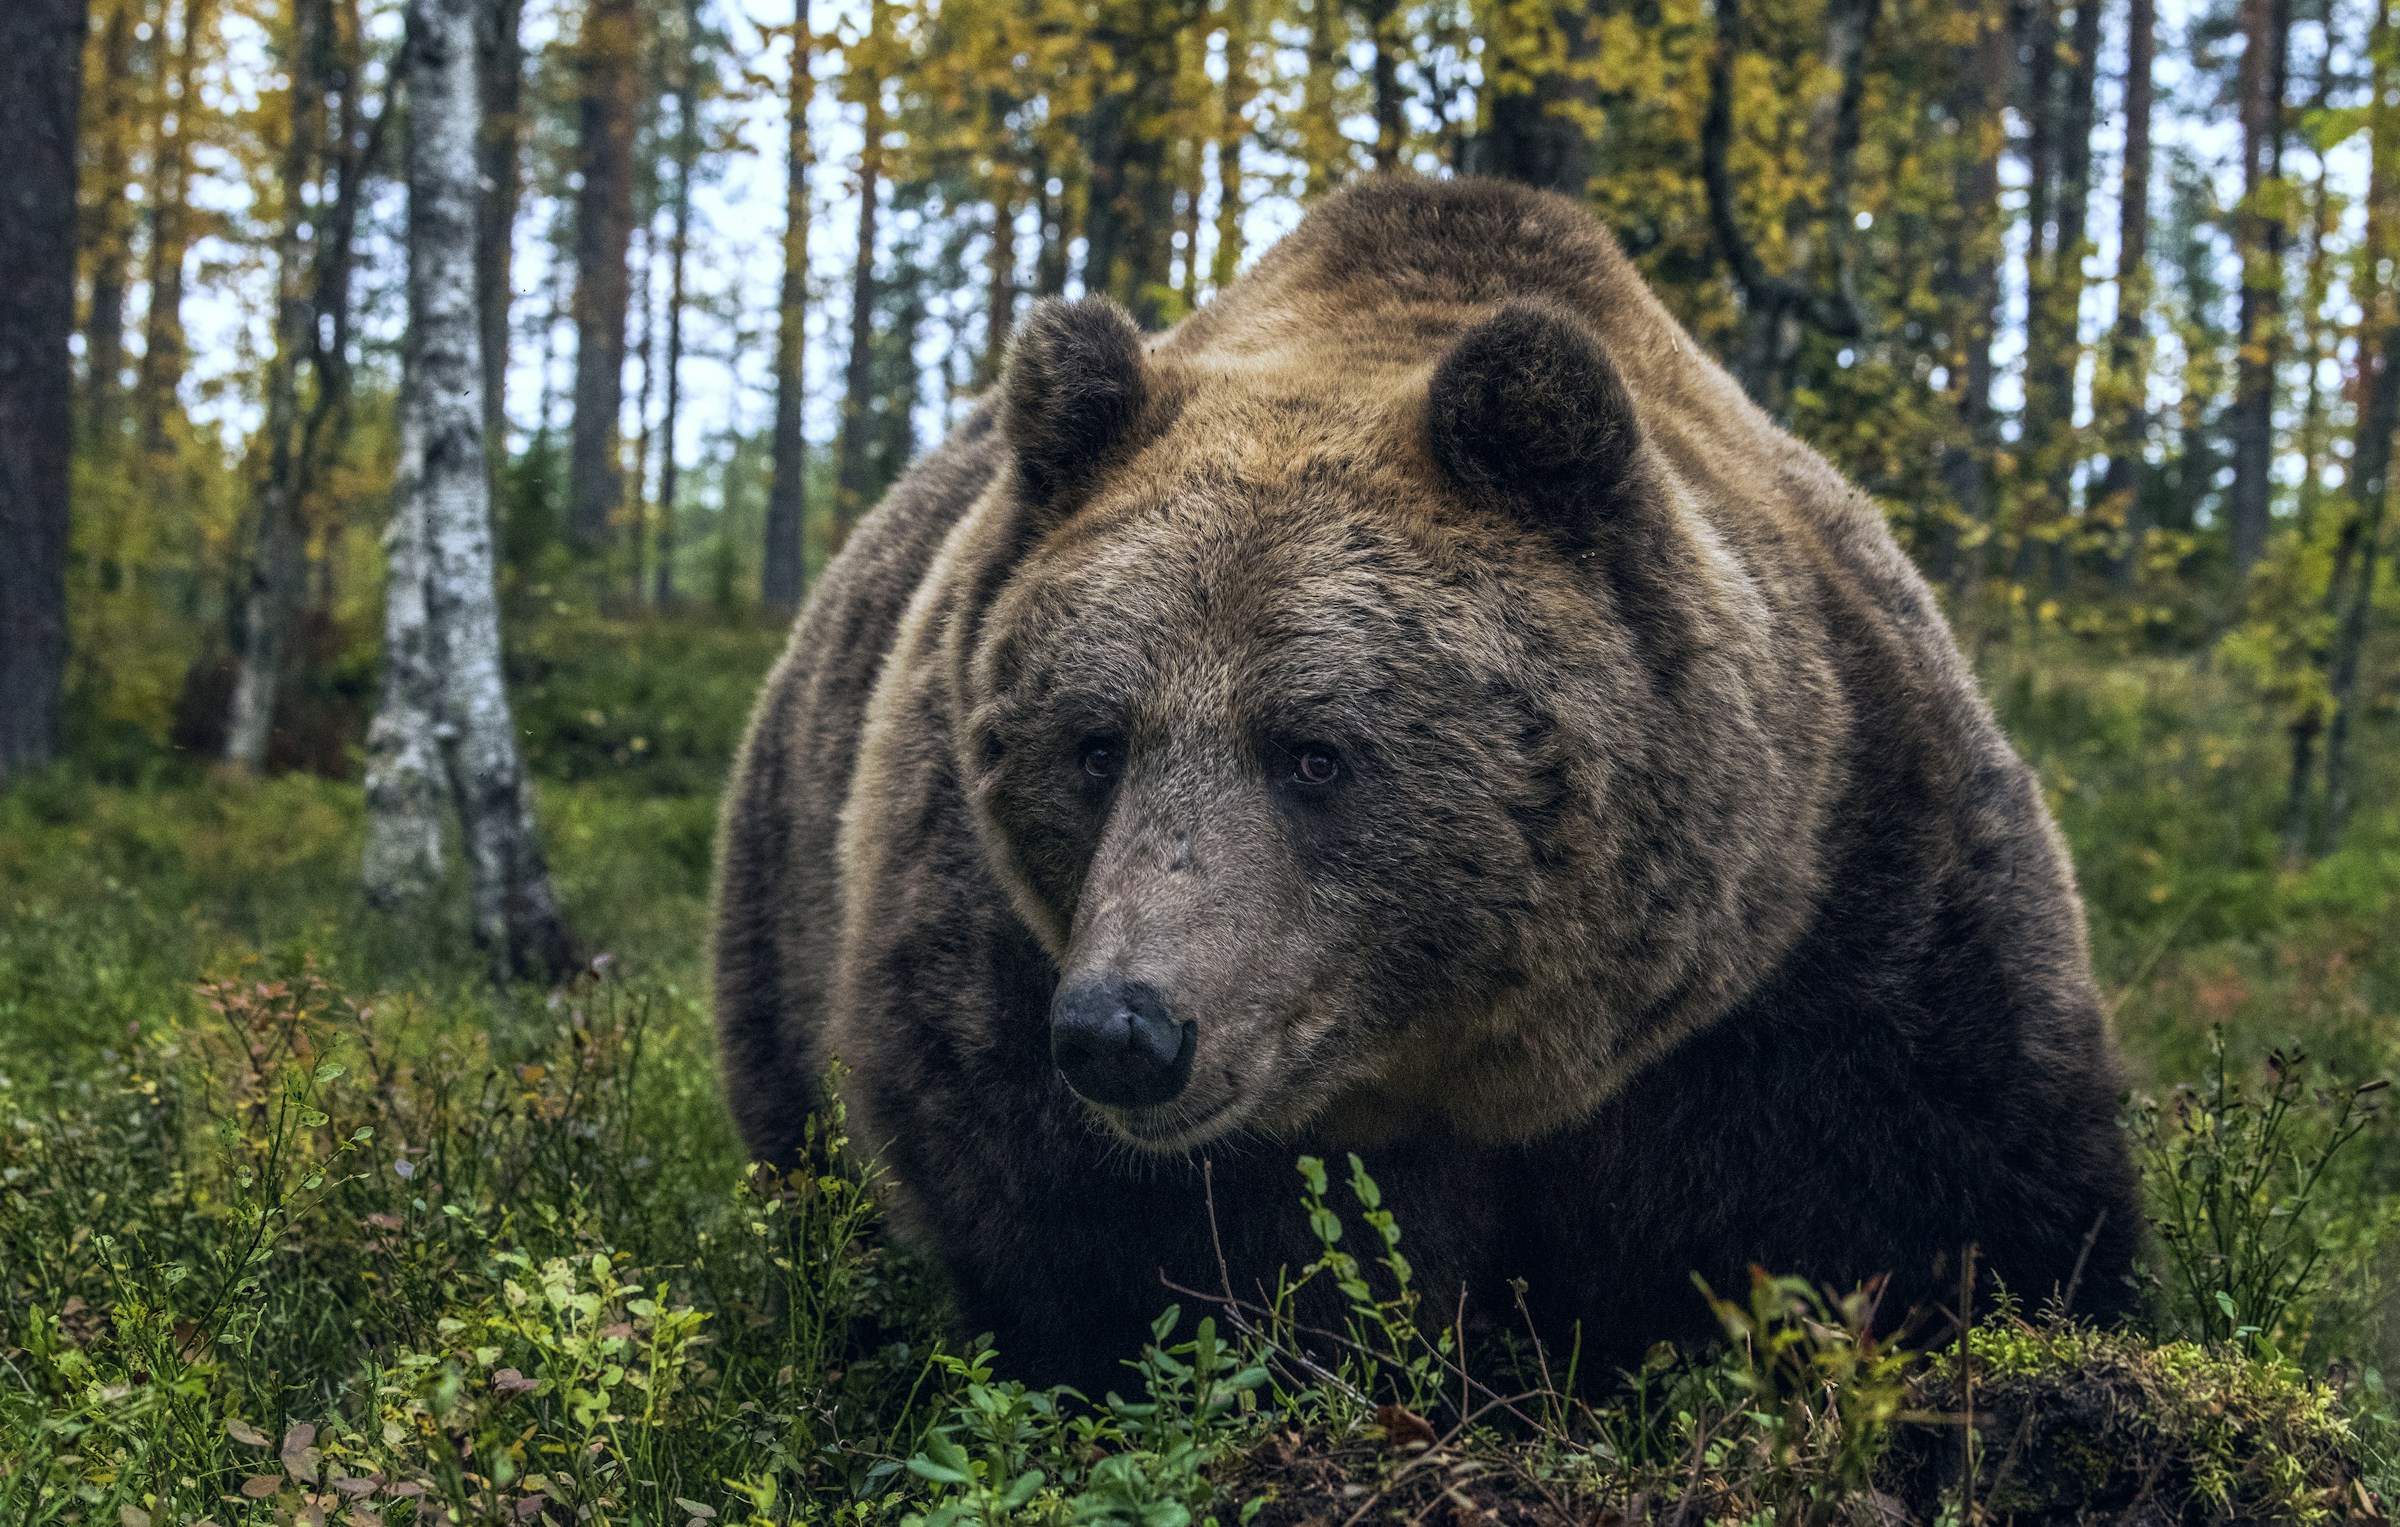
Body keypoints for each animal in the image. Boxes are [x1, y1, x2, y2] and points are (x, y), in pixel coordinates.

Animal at [713, 176, 2141, 1391]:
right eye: (1095, 741)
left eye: (1315, 750)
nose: (1126, 1029)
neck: (1466, 1068)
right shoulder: (994, 958)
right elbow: (1116, 1256)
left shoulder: (1831, 923)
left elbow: (1960, 1198)